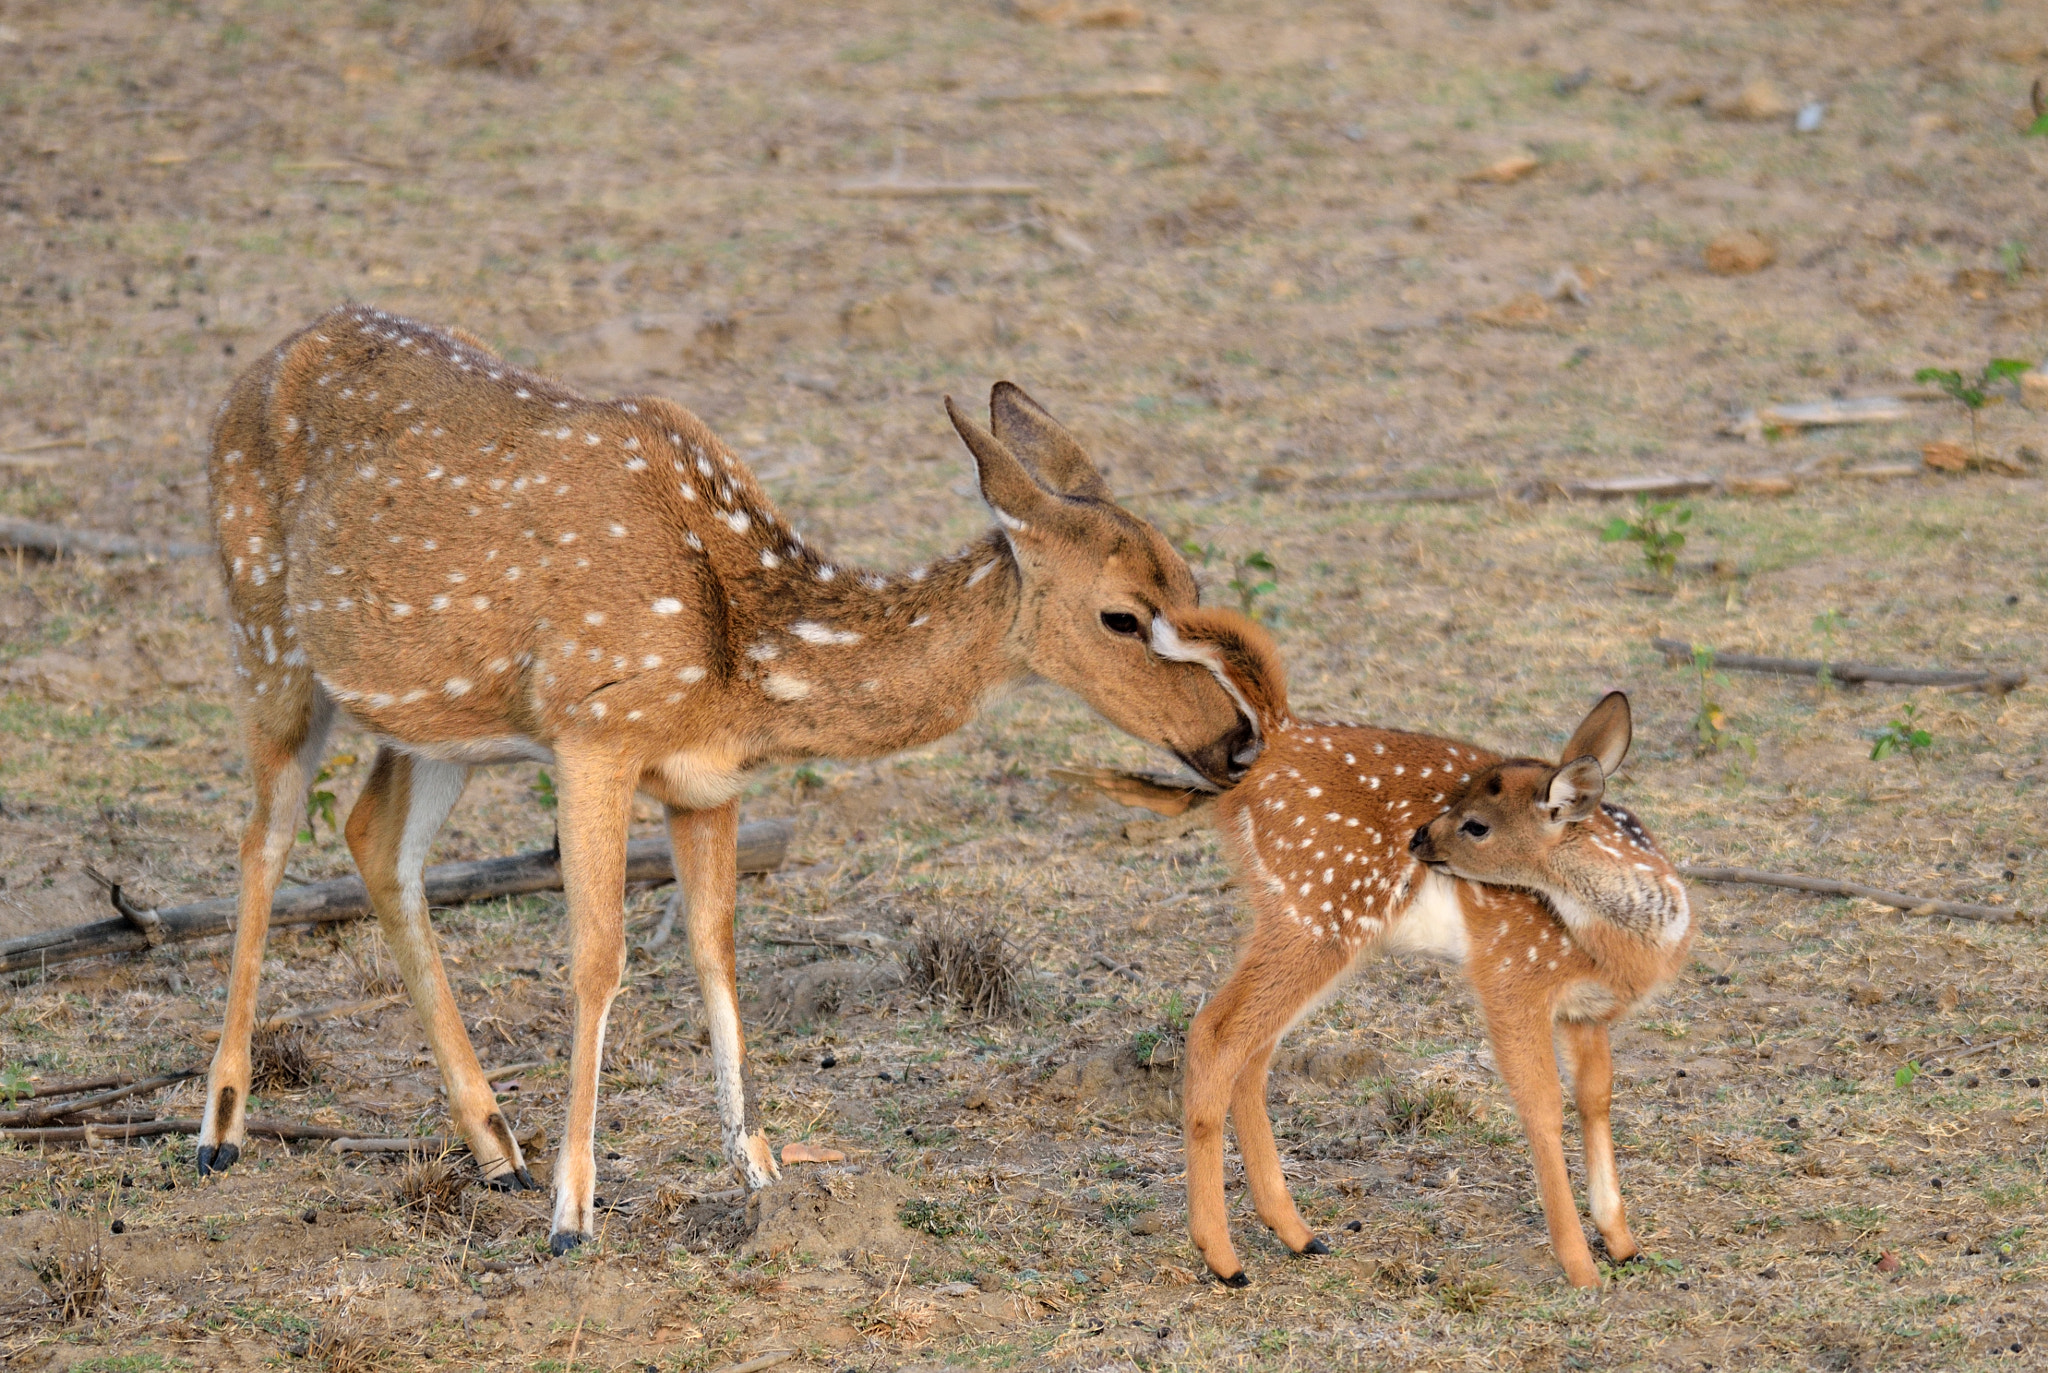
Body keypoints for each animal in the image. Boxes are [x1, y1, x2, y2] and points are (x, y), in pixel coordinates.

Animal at [203, 309, 1245, 1262]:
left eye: (1192, 583)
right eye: (1122, 614)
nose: (1237, 741)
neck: (743, 652)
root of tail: (255, 368)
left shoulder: (706, 779)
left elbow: (717, 945)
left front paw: (762, 1170)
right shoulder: (593, 729)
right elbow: (599, 956)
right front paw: (575, 1215)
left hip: (434, 718)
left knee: (374, 836)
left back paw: (498, 1147)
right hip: (262, 628)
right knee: (265, 835)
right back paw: (221, 1127)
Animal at [1155, 614, 1695, 1295]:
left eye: (1477, 823)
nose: (1417, 839)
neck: (1623, 942)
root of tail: (1274, 737)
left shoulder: (1587, 1012)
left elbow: (1595, 1099)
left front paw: (1623, 1244)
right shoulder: (1510, 975)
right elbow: (1541, 1106)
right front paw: (1580, 1266)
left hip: (1302, 919)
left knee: (1252, 1051)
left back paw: (1299, 1235)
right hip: (1319, 911)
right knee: (1218, 1032)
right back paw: (1225, 1260)